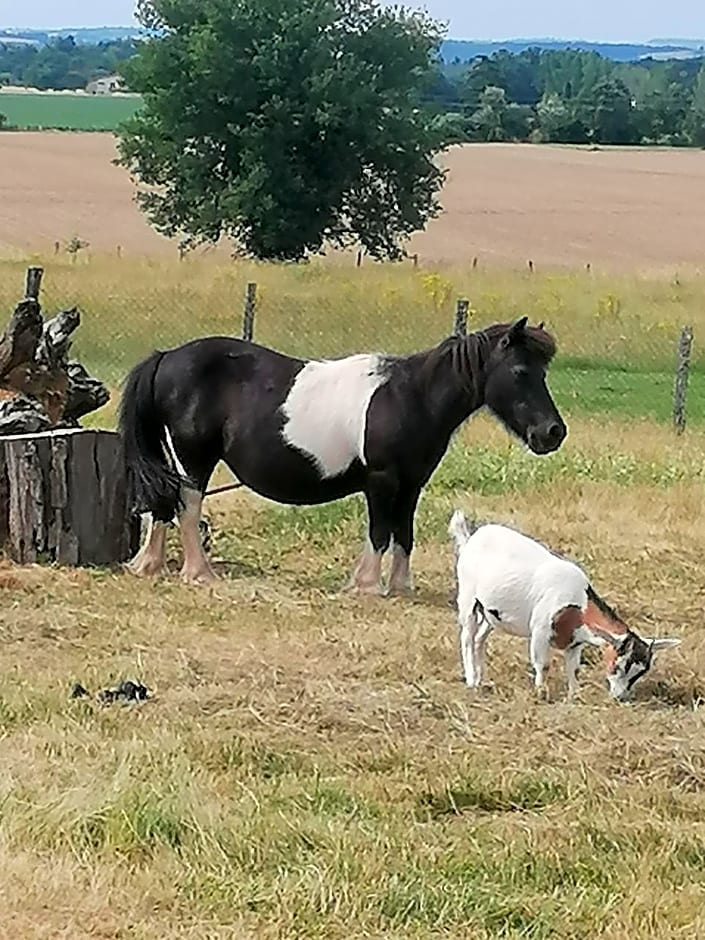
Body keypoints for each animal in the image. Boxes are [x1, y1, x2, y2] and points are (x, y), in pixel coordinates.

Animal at [118, 316, 564, 596]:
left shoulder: (411, 485)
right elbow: (380, 532)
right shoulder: (382, 481)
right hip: (194, 458)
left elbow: (404, 534)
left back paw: (150, 566)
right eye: (522, 372)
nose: (553, 433)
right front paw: (366, 586)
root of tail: (167, 357)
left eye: (543, 372)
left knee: (164, 504)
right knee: (188, 507)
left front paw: (401, 587)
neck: (410, 398)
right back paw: (199, 574)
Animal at [448, 510, 680, 700]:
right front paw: (540, 693)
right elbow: (543, 665)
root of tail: (471, 538)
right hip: (468, 597)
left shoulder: (575, 642)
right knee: (467, 637)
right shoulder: (540, 631)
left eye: (640, 673)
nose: (620, 697)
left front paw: (574, 695)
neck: (579, 603)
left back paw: (480, 679)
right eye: (618, 665)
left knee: (479, 639)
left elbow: (573, 669)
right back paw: (471, 680)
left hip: (491, 613)